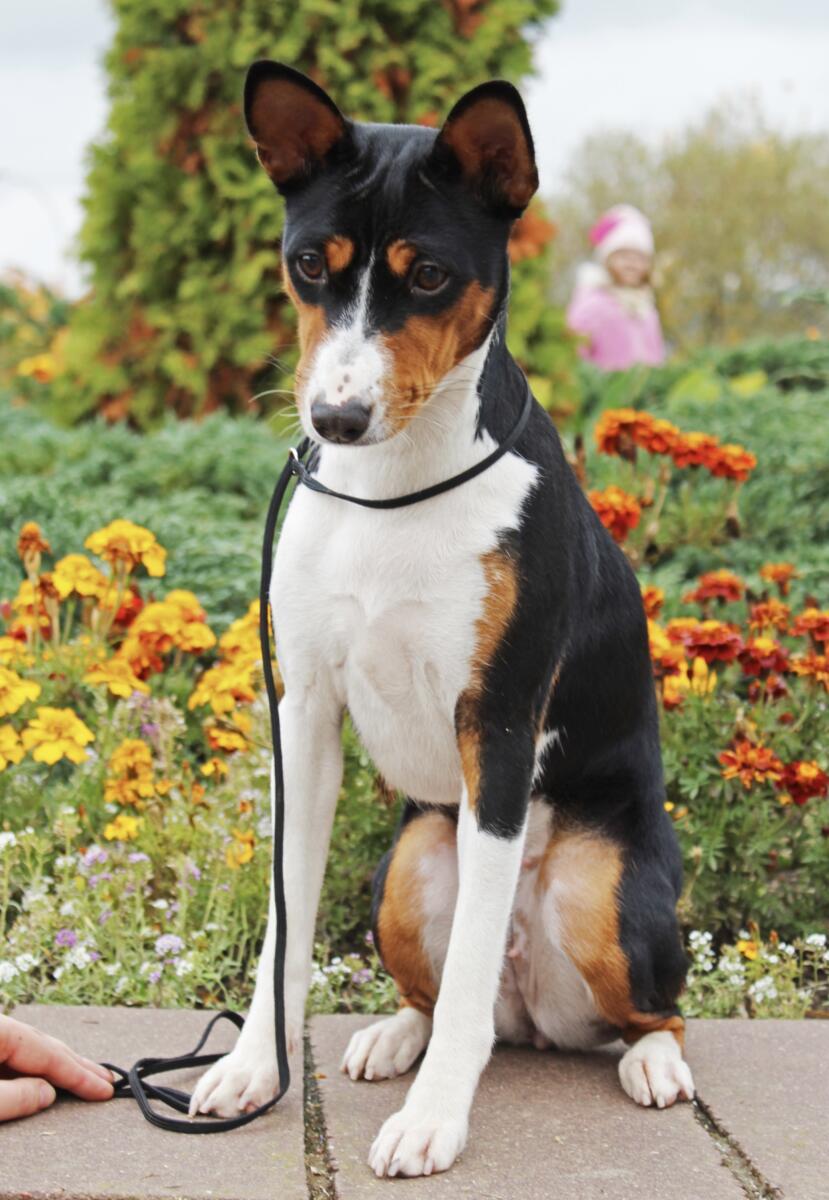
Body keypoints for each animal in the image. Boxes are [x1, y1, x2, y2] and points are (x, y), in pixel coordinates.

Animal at [189, 61, 694, 1177]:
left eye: (426, 276)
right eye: (307, 265)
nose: (334, 420)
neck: (392, 492)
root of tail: (537, 1013)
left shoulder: (496, 726)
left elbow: (465, 982)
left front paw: (433, 1121)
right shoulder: (306, 716)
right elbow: (285, 935)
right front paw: (253, 1070)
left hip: (598, 887)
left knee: (641, 1011)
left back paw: (651, 1063)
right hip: (412, 860)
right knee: (439, 988)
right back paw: (392, 1035)